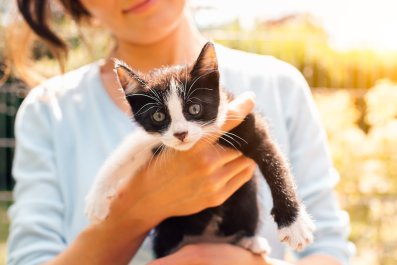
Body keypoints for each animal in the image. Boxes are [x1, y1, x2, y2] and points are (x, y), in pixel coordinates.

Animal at [85, 42, 314, 256]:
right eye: (158, 116)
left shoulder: (245, 121)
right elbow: (126, 154)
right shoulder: (154, 139)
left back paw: (251, 241)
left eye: (194, 108)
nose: (181, 134)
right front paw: (97, 200)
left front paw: (294, 225)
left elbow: (275, 163)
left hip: (246, 202)